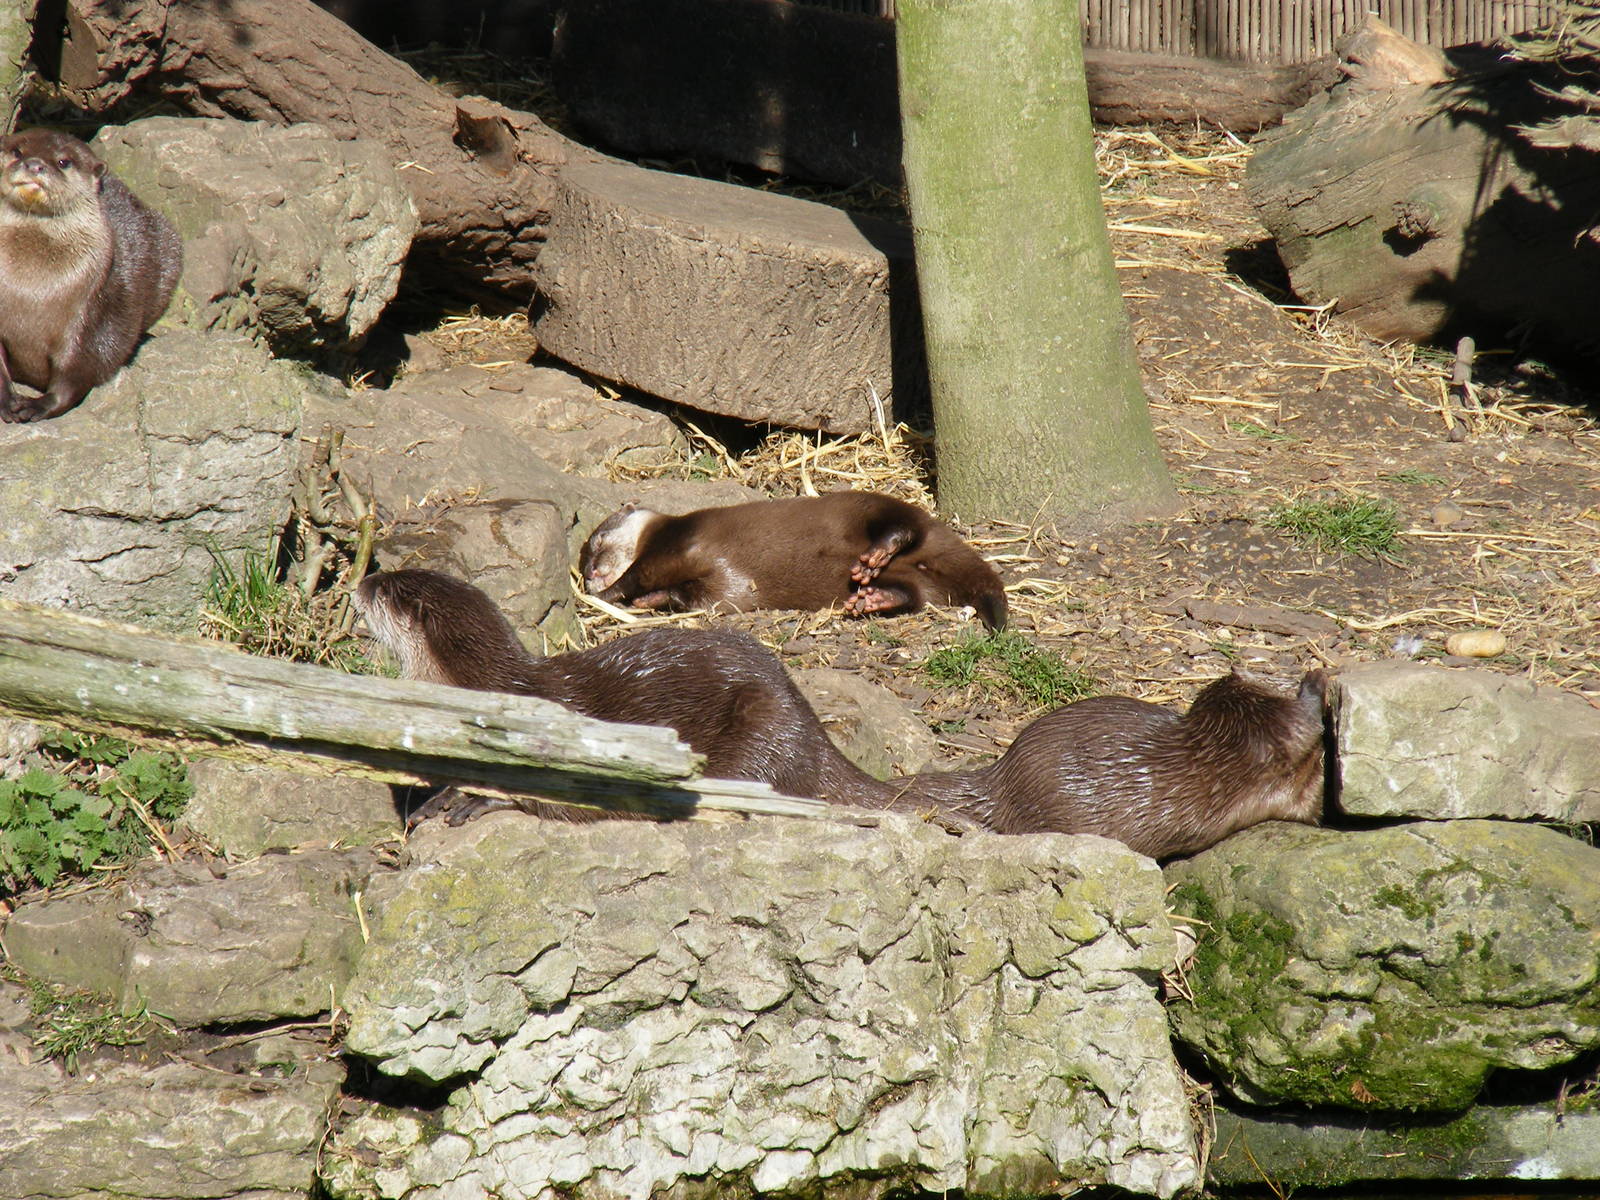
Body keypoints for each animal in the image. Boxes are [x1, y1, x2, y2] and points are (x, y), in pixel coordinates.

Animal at [0, 129, 182, 423]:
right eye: (17, 152)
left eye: (63, 162)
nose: (35, 164)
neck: (31, 289)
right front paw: (6, 401)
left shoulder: (90, 310)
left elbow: (80, 366)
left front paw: (40, 405)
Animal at [579, 492, 1008, 629]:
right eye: (583, 564)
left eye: (596, 542)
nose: (589, 574)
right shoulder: (714, 589)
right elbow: (692, 597)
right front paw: (650, 600)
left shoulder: (674, 544)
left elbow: (637, 574)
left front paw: (611, 594)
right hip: (920, 584)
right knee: (913, 596)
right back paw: (873, 598)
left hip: (870, 505)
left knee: (904, 524)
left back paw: (878, 553)